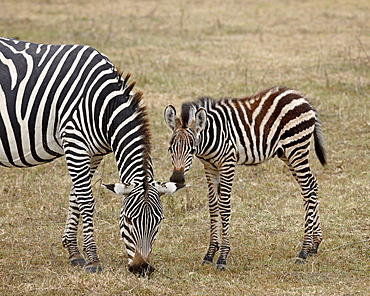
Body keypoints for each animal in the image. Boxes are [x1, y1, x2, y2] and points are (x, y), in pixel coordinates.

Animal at [0, 37, 184, 276]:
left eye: (158, 221)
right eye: (128, 220)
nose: (142, 269)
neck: (103, 106)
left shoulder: (93, 153)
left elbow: (75, 198)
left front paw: (74, 252)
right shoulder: (75, 143)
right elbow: (86, 200)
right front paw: (93, 260)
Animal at [163, 86, 326, 270]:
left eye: (192, 149)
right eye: (170, 149)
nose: (177, 179)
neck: (211, 136)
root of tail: (301, 97)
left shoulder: (228, 163)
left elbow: (224, 206)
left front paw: (223, 257)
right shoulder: (210, 167)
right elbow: (213, 206)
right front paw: (210, 254)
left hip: (296, 148)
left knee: (307, 188)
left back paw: (303, 251)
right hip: (286, 152)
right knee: (312, 184)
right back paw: (314, 244)